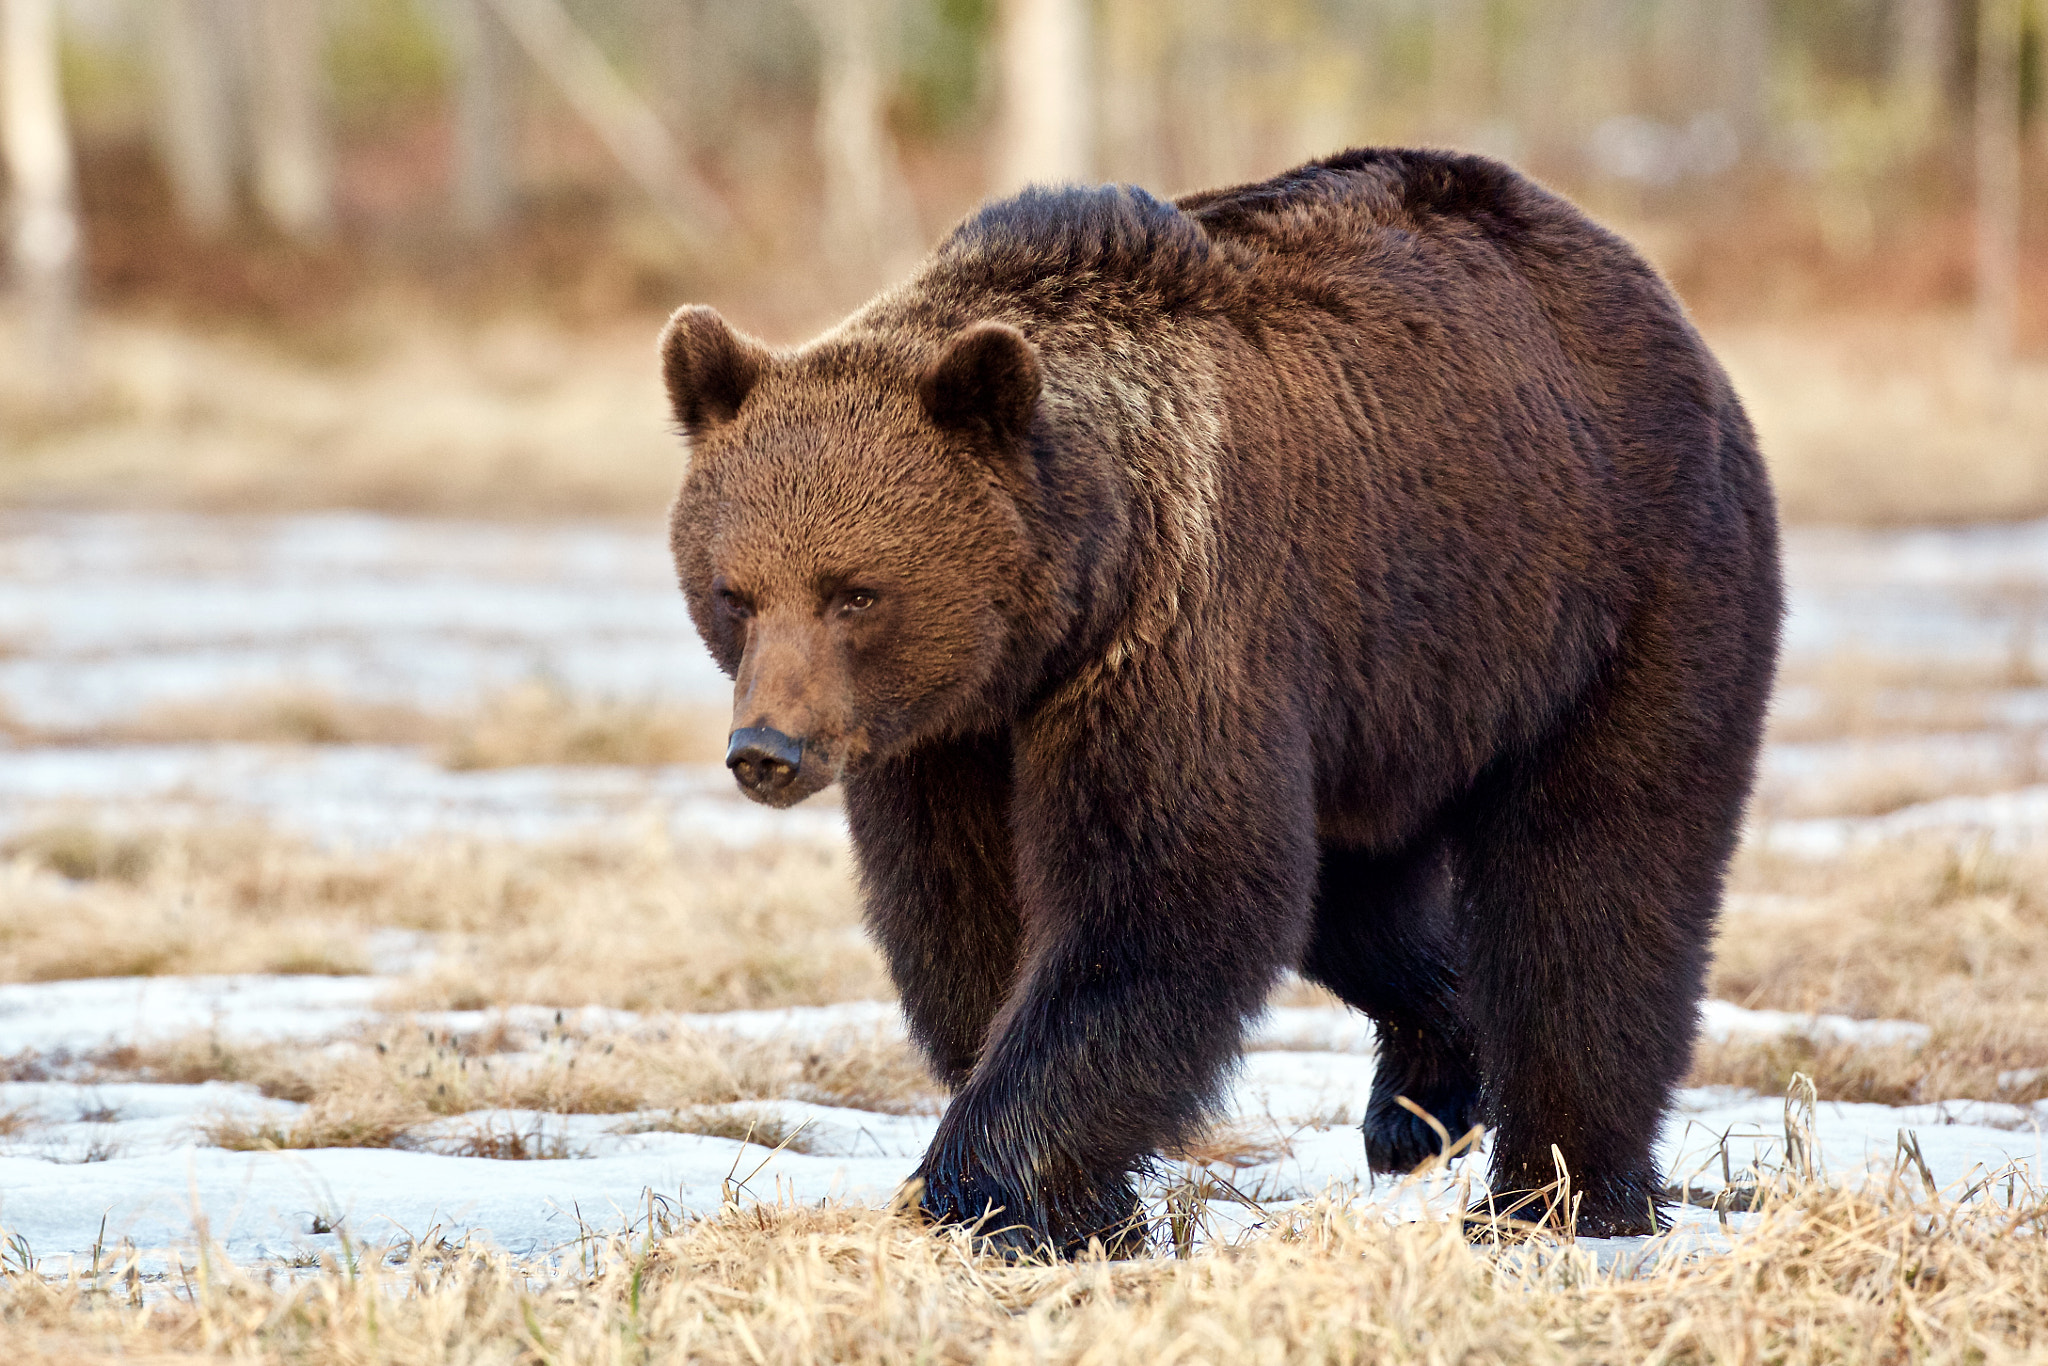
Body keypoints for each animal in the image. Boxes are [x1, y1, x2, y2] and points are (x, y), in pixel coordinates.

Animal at [661, 148, 1782, 1255]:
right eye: (734, 592)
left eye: (854, 591)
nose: (766, 748)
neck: (1062, 605)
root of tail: (1645, 287)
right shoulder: (949, 733)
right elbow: (966, 914)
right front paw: (1079, 1205)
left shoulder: (1180, 631)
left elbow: (1166, 895)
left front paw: (981, 1188)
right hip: (1385, 703)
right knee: (1361, 904)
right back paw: (1424, 1100)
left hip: (1613, 594)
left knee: (1594, 875)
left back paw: (1563, 1193)